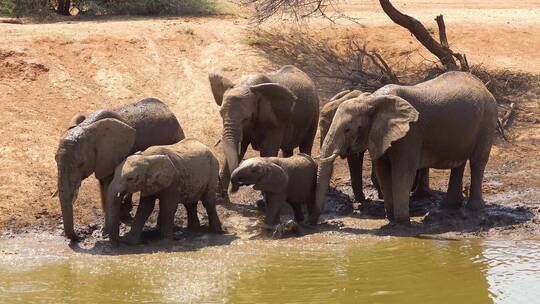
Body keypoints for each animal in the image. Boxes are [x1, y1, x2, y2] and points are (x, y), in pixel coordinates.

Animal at [55, 98, 186, 241]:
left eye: (81, 164)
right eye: (55, 160)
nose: (79, 237)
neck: (88, 127)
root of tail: (169, 110)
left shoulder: (113, 154)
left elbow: (108, 188)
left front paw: (104, 233)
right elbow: (104, 189)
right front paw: (104, 232)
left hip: (176, 139)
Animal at [210, 65, 320, 201]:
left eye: (246, 118)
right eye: (221, 114)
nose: (232, 191)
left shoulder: (275, 121)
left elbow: (267, 151)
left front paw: (264, 197)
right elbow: (239, 149)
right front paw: (219, 198)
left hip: (314, 116)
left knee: (306, 145)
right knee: (287, 150)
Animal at [312, 71, 498, 223]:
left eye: (348, 129)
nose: (314, 221)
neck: (372, 101)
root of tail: (483, 86)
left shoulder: (410, 134)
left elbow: (402, 173)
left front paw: (403, 221)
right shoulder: (381, 136)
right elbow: (384, 174)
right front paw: (391, 218)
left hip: (488, 118)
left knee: (477, 162)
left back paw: (474, 208)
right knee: (458, 163)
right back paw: (450, 206)